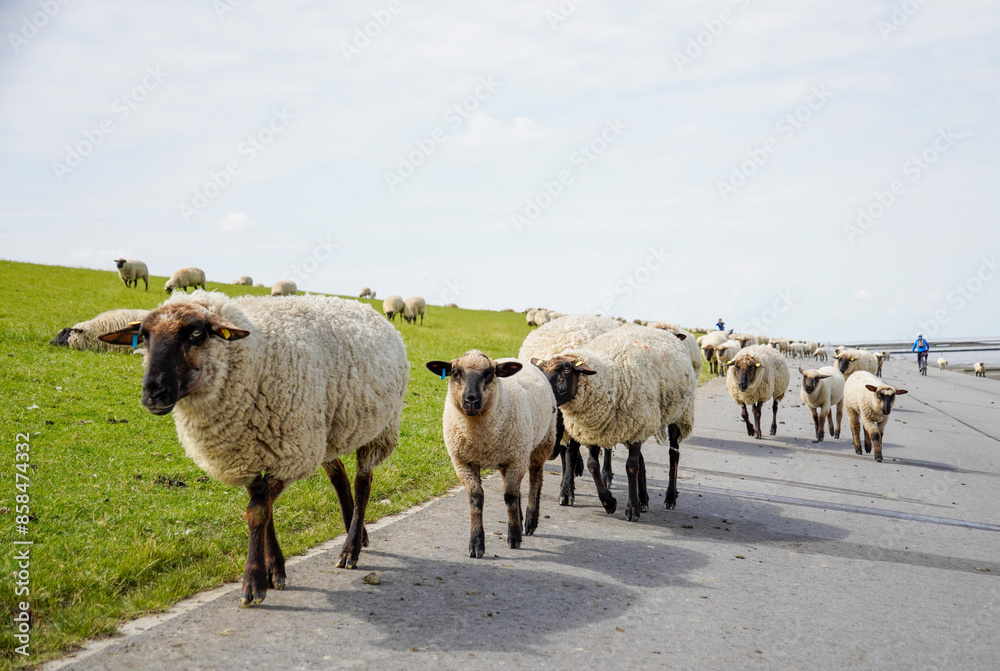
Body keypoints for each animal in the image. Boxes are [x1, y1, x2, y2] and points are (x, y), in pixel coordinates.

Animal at [98, 290, 408, 606]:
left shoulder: (289, 454)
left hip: (378, 429)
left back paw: (350, 549)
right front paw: (274, 570)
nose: (153, 394)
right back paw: (357, 535)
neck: (254, 356)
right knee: (340, 478)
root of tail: (366, 308)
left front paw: (254, 583)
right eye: (143, 336)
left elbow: (258, 511)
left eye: (196, 333)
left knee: (362, 483)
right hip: (325, 435)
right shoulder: (246, 455)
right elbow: (264, 507)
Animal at [425, 351, 557, 558]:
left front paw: (514, 537)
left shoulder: (517, 459)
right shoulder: (463, 462)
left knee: (535, 480)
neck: (481, 439)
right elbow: (476, 497)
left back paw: (529, 521)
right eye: (456, 372)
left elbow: (509, 496)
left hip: (542, 443)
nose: (471, 400)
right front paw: (476, 544)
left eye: (489, 373)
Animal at [533, 325, 697, 520]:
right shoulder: (594, 428)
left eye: (566, 371)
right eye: (541, 370)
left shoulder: (636, 425)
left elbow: (631, 466)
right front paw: (609, 502)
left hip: (678, 415)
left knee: (673, 455)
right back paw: (643, 500)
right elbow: (592, 465)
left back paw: (670, 498)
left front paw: (632, 508)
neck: (608, 377)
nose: (543, 394)